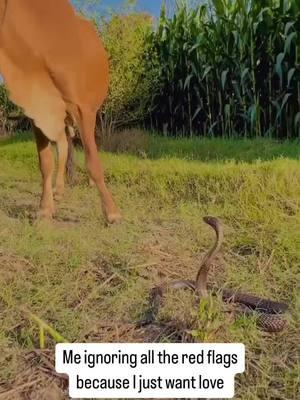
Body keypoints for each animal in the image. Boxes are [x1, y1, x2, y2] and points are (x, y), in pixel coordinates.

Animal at [0, 0, 122, 225]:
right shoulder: (36, 112)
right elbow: (46, 163)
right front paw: (45, 208)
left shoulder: (82, 108)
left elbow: (93, 160)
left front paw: (112, 212)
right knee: (65, 145)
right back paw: (58, 189)